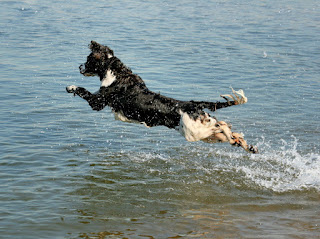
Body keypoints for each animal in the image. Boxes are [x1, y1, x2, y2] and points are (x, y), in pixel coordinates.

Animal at [66, 40, 258, 153]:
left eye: (88, 60)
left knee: (222, 125)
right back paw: (245, 145)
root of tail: (193, 104)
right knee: (228, 129)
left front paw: (70, 86)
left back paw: (237, 140)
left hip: (195, 132)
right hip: (205, 134)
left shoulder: (97, 102)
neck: (115, 72)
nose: (80, 67)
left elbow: (82, 90)